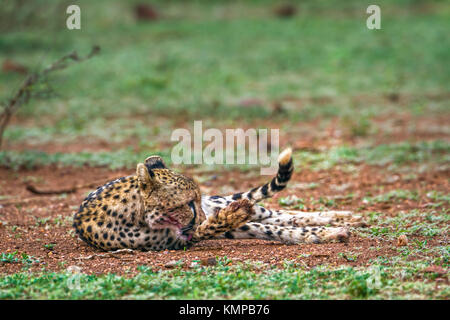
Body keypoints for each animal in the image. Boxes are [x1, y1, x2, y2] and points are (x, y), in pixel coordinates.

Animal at [72, 149, 364, 251]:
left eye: (196, 200)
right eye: (187, 203)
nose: (202, 212)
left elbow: (269, 225)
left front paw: (324, 232)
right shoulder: (183, 239)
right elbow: (251, 226)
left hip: (223, 202)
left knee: (276, 214)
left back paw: (341, 218)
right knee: (277, 217)